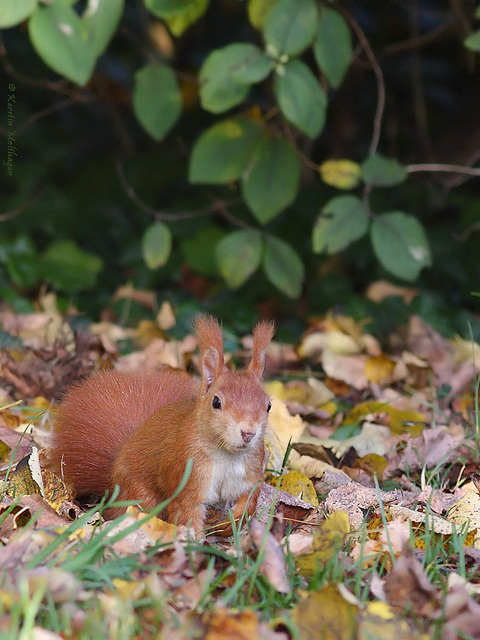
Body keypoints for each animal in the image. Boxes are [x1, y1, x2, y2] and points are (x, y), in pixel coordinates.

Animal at [49, 316, 276, 536]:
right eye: (216, 402)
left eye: (268, 405)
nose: (248, 432)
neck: (227, 455)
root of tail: (113, 482)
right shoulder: (188, 476)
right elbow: (188, 514)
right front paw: (194, 544)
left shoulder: (250, 473)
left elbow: (249, 499)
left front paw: (230, 523)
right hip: (140, 496)